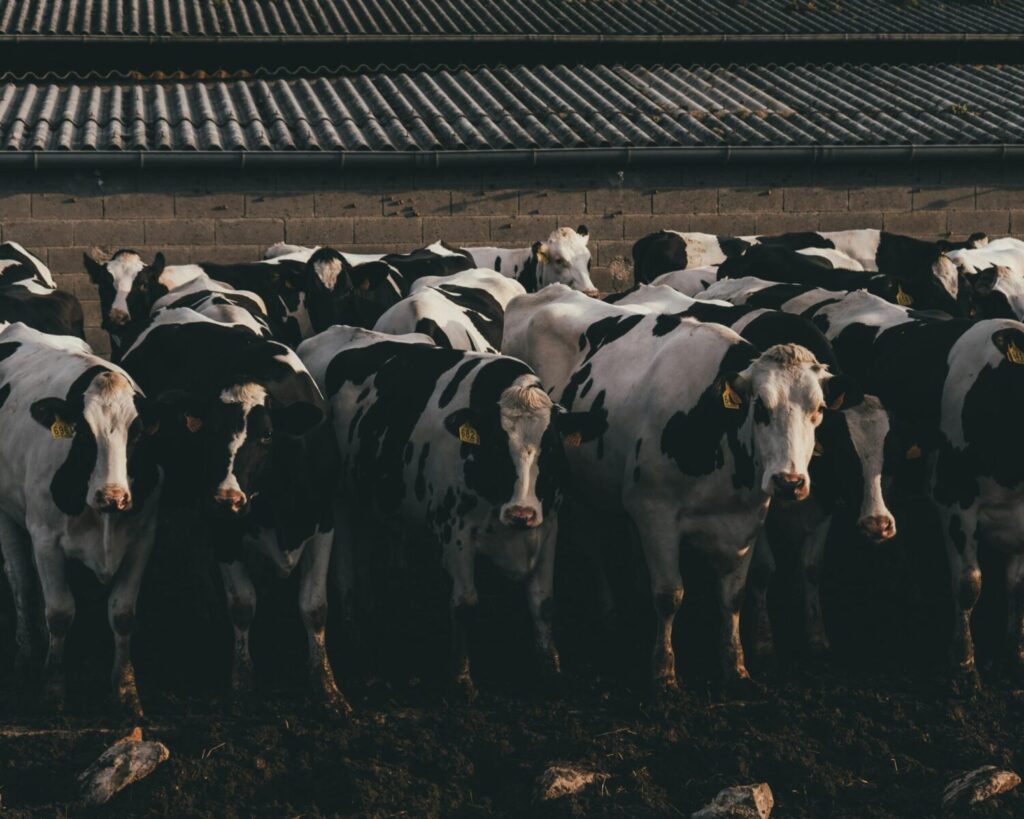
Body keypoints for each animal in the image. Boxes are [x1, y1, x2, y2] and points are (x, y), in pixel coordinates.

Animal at [0, 323, 162, 715]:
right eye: (85, 434)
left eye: (137, 433)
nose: (113, 495)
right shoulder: (45, 538)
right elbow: (60, 613)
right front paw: (53, 690)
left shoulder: (143, 538)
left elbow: (123, 614)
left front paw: (125, 689)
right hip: (7, 515)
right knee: (20, 580)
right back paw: (25, 658)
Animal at [120, 308, 348, 712]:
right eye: (209, 431)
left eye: (267, 435)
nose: (228, 498)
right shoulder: (224, 529)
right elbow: (242, 603)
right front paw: (241, 683)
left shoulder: (321, 518)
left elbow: (314, 606)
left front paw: (326, 686)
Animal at [298, 326, 597, 699]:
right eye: (497, 445)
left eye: (552, 447)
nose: (521, 513)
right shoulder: (455, 532)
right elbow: (464, 604)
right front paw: (461, 678)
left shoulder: (548, 526)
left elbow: (543, 603)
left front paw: (551, 669)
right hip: (337, 497)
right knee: (345, 563)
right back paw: (354, 631)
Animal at [503, 285, 854, 691]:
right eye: (761, 408)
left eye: (819, 410)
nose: (790, 482)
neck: (713, 428)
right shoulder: (655, 511)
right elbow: (670, 594)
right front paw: (664, 671)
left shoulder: (746, 520)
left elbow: (733, 596)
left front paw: (736, 666)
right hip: (580, 493)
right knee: (594, 548)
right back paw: (609, 612)